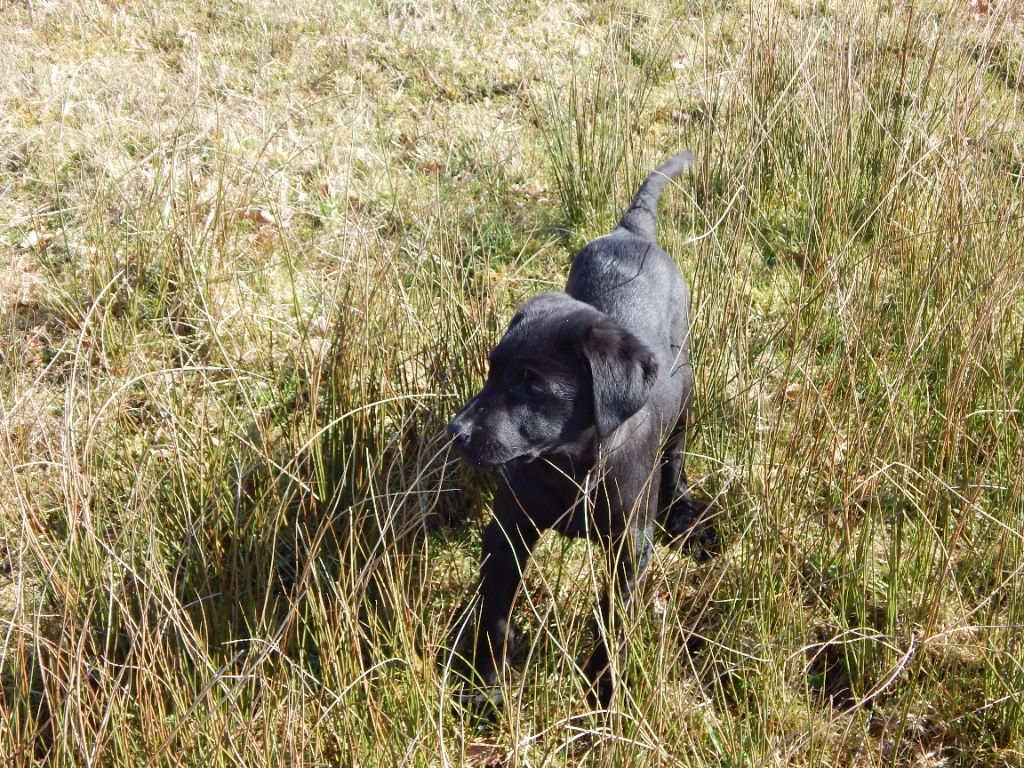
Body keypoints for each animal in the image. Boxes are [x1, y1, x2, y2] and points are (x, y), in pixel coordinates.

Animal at [448, 150, 704, 708]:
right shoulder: (508, 532)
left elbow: (611, 624)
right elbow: (495, 615)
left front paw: (602, 696)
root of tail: (633, 231)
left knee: (675, 455)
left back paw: (685, 514)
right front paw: (490, 688)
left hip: (686, 388)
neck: (571, 465)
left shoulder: (629, 550)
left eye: (533, 387)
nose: (456, 431)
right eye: (491, 371)